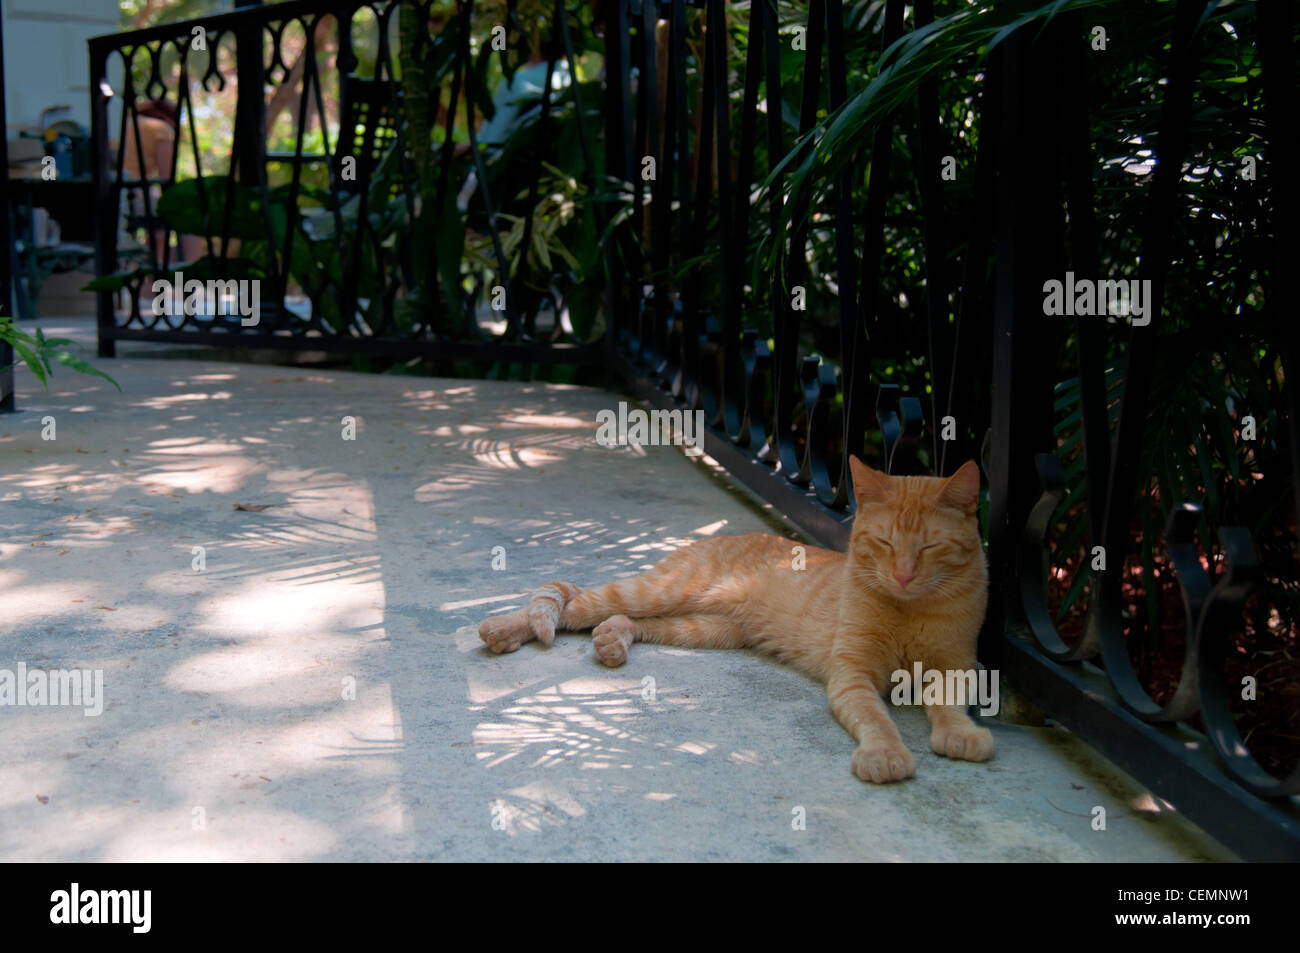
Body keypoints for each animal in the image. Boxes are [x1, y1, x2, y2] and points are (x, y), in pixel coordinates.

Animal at [480, 455, 993, 780]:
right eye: (884, 542)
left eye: (930, 546)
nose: (903, 576)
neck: (909, 609)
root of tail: (715, 538)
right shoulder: (853, 672)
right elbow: (875, 718)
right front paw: (885, 754)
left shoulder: (958, 667)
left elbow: (948, 706)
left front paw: (961, 735)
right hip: (663, 591)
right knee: (570, 600)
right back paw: (501, 629)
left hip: (705, 627)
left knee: (624, 618)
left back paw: (613, 640)